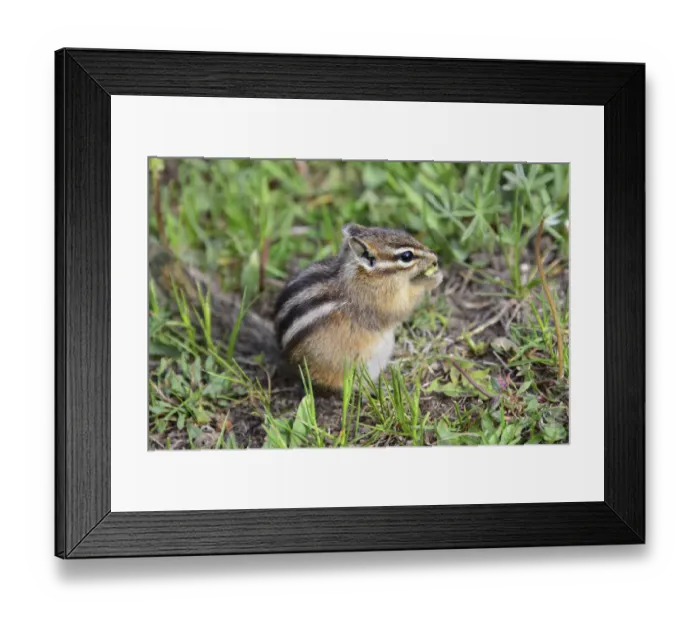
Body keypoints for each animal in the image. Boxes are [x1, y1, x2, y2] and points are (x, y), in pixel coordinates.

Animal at [148, 223, 442, 390]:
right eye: (406, 256)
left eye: (406, 233)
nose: (435, 256)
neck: (359, 276)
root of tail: (283, 357)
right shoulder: (376, 302)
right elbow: (398, 310)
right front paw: (431, 280)